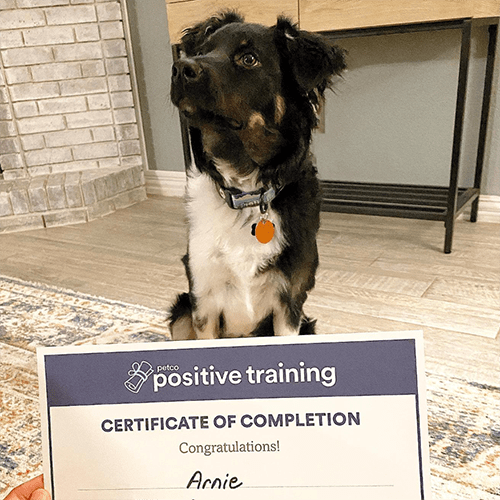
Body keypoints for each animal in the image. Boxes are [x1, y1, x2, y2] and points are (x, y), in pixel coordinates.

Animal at [168, 10, 344, 340]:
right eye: (203, 51)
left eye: (249, 59)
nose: (181, 68)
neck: (245, 192)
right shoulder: (202, 301)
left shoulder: (290, 303)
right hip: (181, 314)